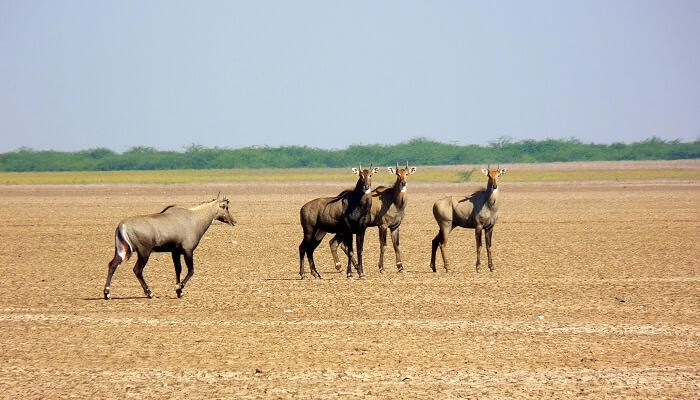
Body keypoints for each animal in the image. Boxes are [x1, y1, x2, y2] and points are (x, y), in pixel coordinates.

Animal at [102, 194, 237, 300]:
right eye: (225, 207)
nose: (234, 221)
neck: (193, 218)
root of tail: (122, 225)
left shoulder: (175, 252)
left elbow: (178, 270)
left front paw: (179, 292)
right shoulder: (188, 251)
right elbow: (191, 270)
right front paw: (178, 288)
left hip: (122, 250)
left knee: (113, 265)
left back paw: (107, 293)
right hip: (144, 252)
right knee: (137, 270)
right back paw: (150, 293)